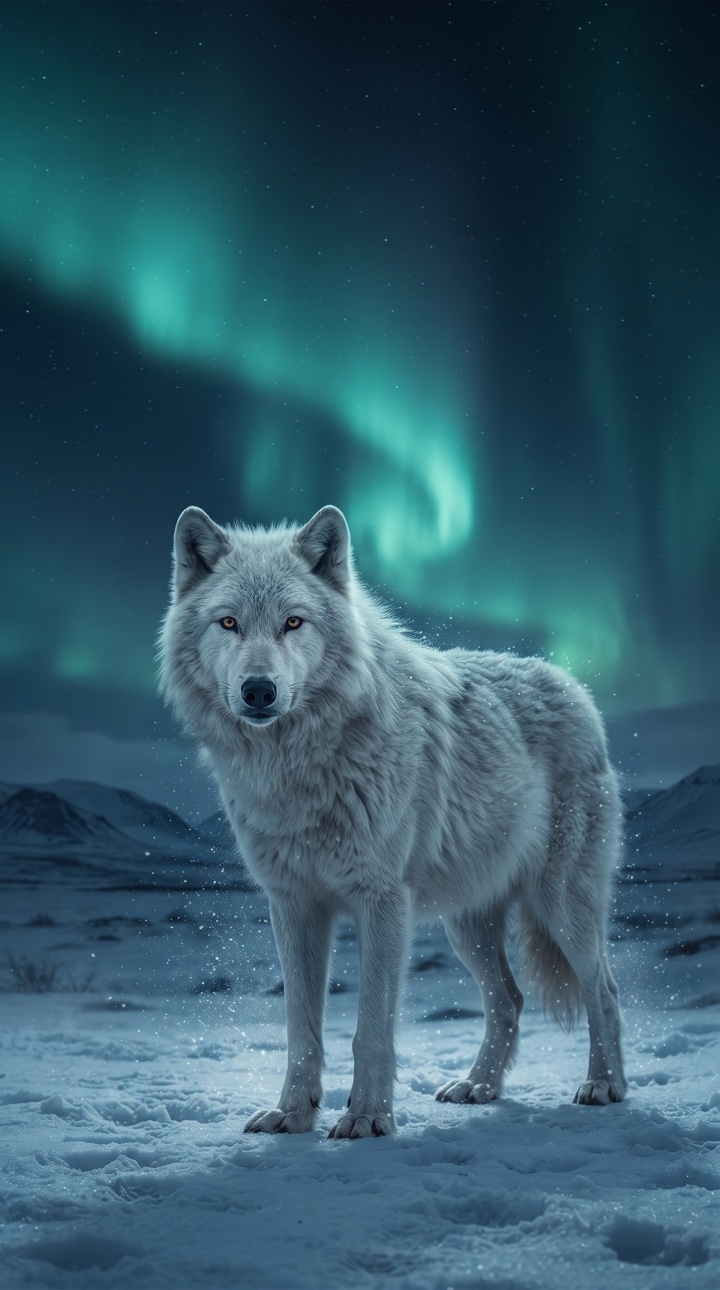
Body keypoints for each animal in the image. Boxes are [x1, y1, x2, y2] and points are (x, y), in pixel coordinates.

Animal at [159, 504, 626, 1138]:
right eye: (228, 623)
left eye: (293, 623)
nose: (259, 691)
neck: (298, 768)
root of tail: (577, 688)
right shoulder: (293, 904)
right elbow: (301, 1029)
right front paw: (292, 1114)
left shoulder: (382, 902)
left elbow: (370, 1029)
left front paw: (367, 1118)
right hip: (466, 925)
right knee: (509, 999)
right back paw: (479, 1086)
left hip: (561, 906)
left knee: (604, 989)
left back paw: (604, 1085)